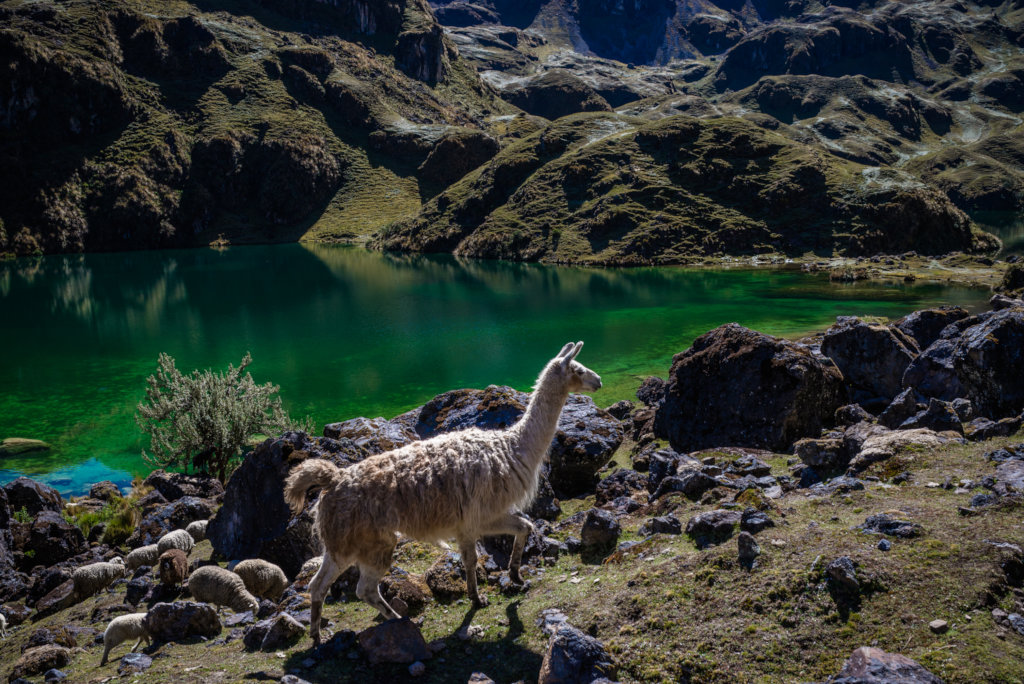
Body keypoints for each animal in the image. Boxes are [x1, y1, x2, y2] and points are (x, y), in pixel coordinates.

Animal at [282, 342, 598, 647]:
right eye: (579, 369)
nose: (599, 381)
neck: (513, 448)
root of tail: (334, 479)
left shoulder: (474, 520)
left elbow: (522, 528)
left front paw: (514, 577)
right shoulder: (480, 515)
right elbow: (481, 554)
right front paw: (481, 597)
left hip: (340, 543)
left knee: (319, 585)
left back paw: (317, 635)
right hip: (367, 542)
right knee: (363, 589)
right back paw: (397, 619)